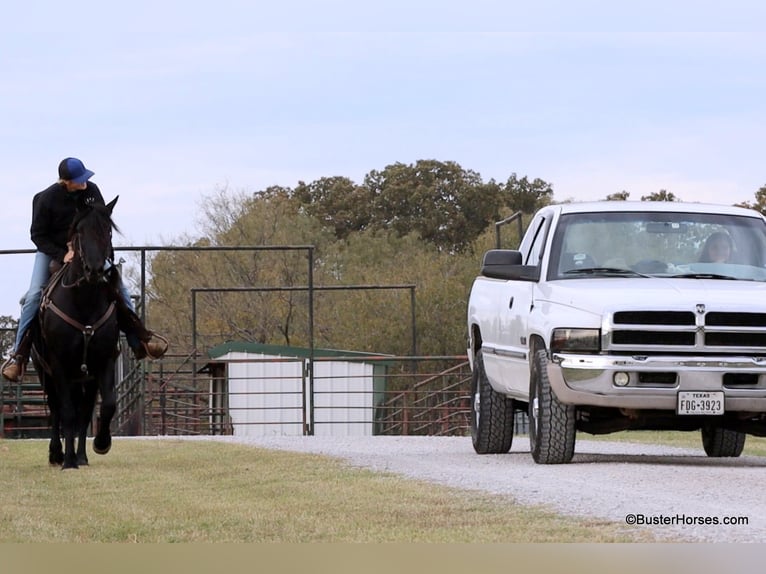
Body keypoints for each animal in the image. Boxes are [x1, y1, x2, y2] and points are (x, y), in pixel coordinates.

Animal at [30, 197, 122, 468]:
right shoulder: (58, 364)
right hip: (46, 373)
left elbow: (105, 406)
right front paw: (68, 460)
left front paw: (100, 444)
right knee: (57, 410)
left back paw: (81, 456)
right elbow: (67, 412)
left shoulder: (104, 361)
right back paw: (57, 453)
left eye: (107, 231)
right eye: (79, 232)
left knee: (83, 410)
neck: (84, 303)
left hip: (84, 379)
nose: (94, 270)